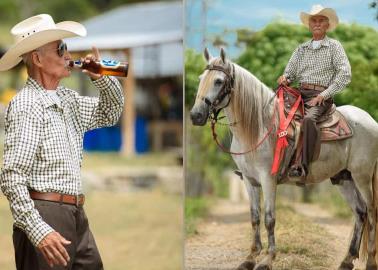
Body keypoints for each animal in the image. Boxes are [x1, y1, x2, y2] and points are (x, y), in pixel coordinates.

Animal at [190, 48, 378, 270]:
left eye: (219, 81)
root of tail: (370, 120)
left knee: (372, 212)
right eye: (201, 78)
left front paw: (267, 260)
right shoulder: (249, 181)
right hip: (344, 178)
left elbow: (269, 219)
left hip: (362, 177)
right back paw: (347, 261)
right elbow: (254, 218)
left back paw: (371, 262)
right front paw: (250, 258)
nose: (195, 115)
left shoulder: (268, 180)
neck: (259, 127)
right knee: (360, 213)